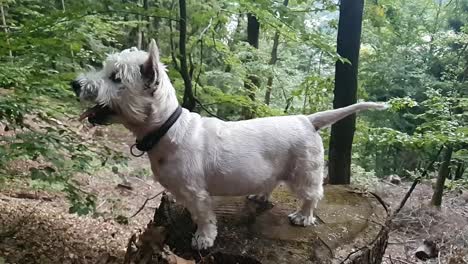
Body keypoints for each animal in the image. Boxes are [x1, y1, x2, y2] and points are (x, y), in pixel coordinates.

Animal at [72, 39, 388, 250]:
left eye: (116, 78)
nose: (76, 84)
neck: (166, 127)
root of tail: (306, 120)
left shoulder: (196, 191)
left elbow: (203, 215)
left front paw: (203, 238)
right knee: (272, 182)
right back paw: (260, 195)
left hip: (304, 171)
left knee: (312, 195)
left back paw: (302, 217)